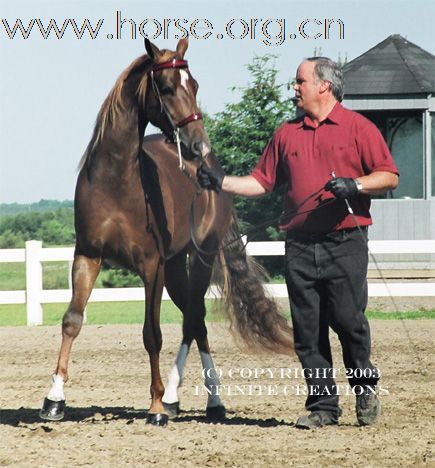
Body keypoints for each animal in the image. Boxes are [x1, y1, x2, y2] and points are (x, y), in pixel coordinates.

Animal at [40, 38, 292, 426]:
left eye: (196, 85)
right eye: (169, 86)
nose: (198, 145)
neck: (116, 180)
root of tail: (215, 174)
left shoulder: (151, 266)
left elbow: (152, 334)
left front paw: (156, 405)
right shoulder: (87, 256)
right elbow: (72, 320)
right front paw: (54, 399)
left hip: (199, 260)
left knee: (192, 320)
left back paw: (187, 398)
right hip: (175, 268)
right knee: (197, 320)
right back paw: (198, 400)